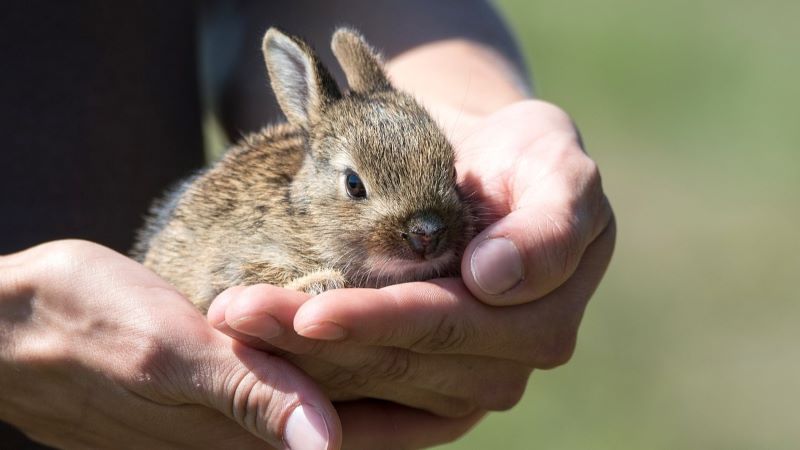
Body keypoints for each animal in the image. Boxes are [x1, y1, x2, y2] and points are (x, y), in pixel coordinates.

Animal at [133, 27, 476, 310]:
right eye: (354, 184)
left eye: (452, 171)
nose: (427, 233)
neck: (307, 219)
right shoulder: (231, 266)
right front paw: (322, 282)